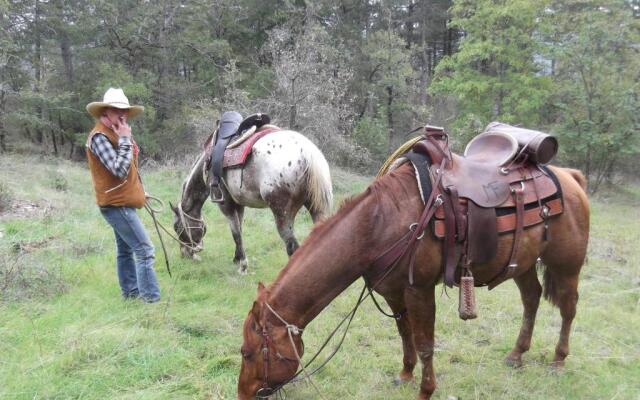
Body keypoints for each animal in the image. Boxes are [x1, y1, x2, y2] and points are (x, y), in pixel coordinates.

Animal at [172, 130, 332, 274]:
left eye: (177, 228)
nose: (185, 254)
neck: (208, 164)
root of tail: (308, 155)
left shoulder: (226, 206)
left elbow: (236, 233)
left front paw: (243, 266)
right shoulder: (239, 205)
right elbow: (239, 231)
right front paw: (237, 258)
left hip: (283, 215)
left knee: (292, 246)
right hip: (317, 210)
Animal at [236, 163, 592, 400]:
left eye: (247, 353)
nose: (242, 395)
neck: (378, 225)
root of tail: (570, 176)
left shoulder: (419, 290)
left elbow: (425, 343)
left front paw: (425, 390)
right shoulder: (394, 292)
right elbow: (405, 334)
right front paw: (405, 374)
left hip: (566, 265)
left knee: (569, 309)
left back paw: (559, 360)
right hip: (523, 265)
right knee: (531, 299)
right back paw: (517, 354)